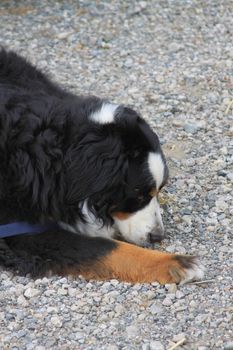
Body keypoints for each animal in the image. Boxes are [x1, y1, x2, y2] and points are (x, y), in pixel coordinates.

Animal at [0, 49, 204, 284]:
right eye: (139, 194)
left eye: (159, 191)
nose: (157, 236)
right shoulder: (26, 234)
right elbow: (109, 249)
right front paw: (178, 263)